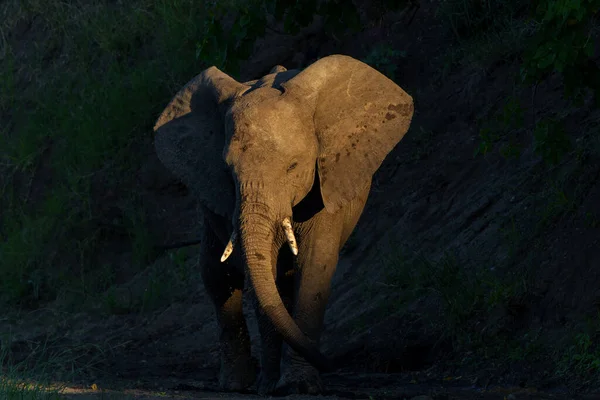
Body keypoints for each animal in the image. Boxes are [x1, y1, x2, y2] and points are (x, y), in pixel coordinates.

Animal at [154, 54, 412, 394]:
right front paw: (270, 385)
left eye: (293, 166)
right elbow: (262, 274)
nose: (331, 363)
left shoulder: (326, 182)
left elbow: (314, 266)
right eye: (227, 172)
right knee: (216, 275)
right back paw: (236, 384)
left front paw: (299, 386)